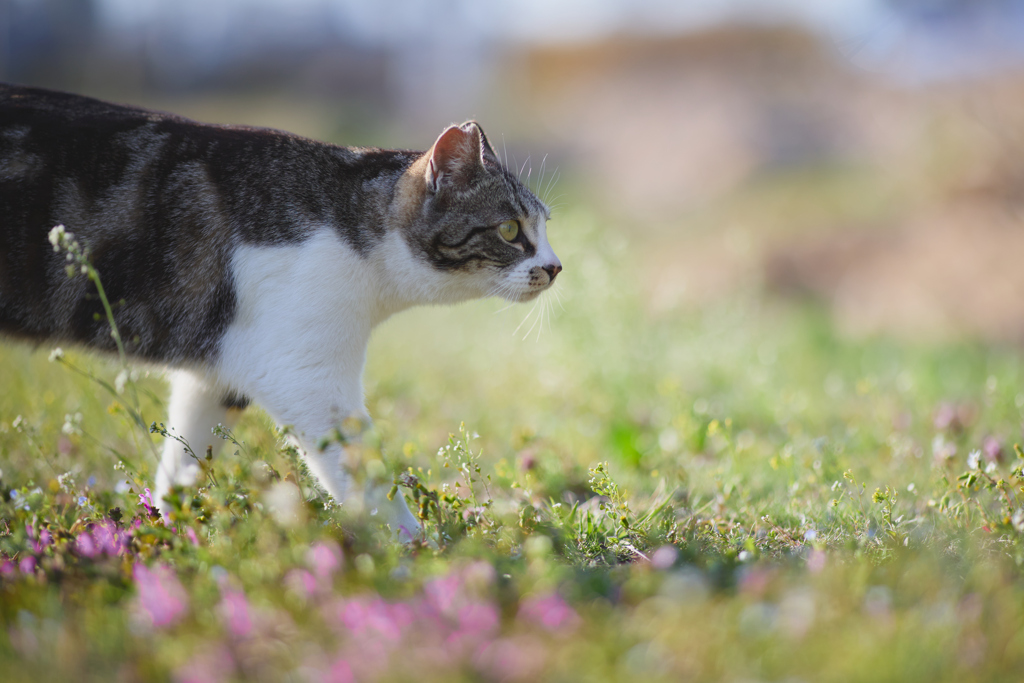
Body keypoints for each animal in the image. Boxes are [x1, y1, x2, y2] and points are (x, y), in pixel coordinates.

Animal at [0, 83, 561, 540]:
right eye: (511, 229)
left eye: (546, 226)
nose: (556, 267)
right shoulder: (305, 376)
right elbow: (366, 478)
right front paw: (416, 556)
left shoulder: (214, 377)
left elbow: (182, 466)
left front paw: (168, 537)